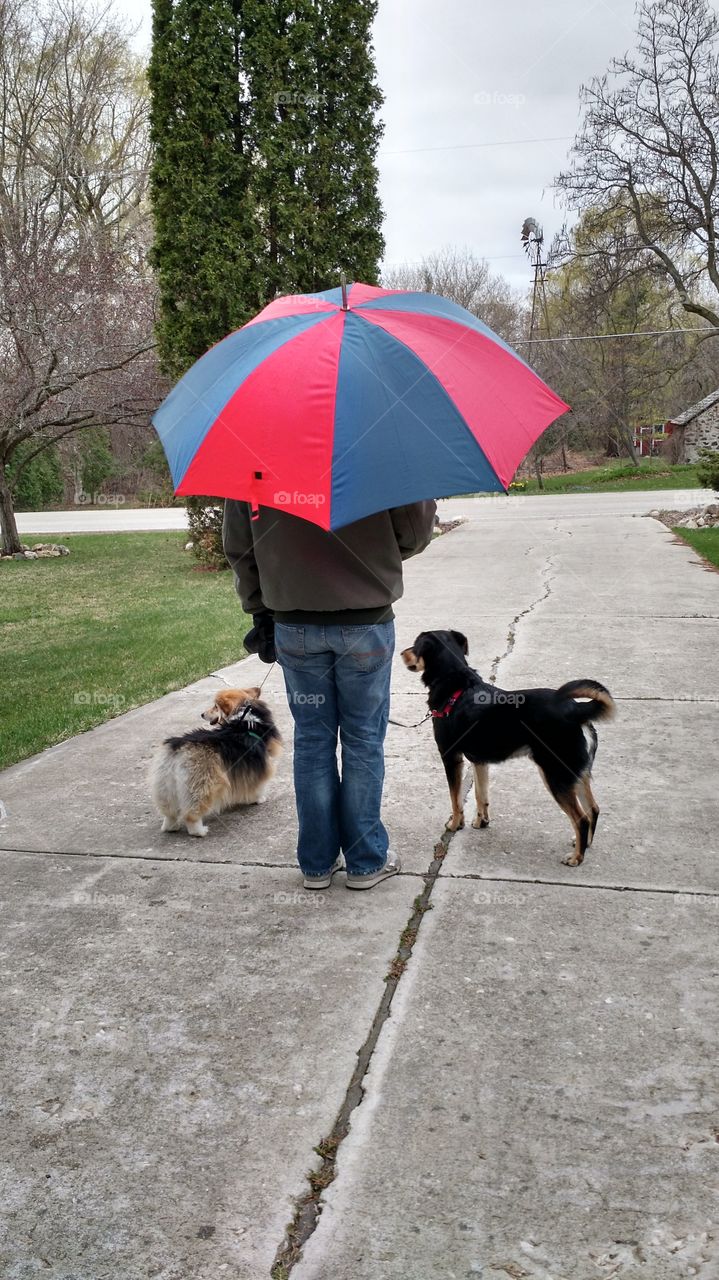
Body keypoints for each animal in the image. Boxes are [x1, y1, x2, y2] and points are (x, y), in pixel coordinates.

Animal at [147, 691, 280, 839]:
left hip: (165, 784)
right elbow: (258, 786)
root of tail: (178, 749)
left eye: (215, 707)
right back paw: (199, 831)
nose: (202, 714)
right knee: (192, 814)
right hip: (202, 785)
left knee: (169, 812)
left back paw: (171, 827)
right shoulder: (258, 768)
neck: (245, 720)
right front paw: (259, 799)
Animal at [399, 629, 614, 870]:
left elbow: (455, 799)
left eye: (415, 645)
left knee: (581, 818)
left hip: (556, 774)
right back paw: (583, 844)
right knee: (593, 809)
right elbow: (480, 794)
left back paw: (576, 857)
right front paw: (481, 821)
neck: (457, 685)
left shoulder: (451, 757)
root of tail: (577, 710)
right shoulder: (479, 761)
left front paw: (455, 824)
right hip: (576, 772)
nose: (401, 653)